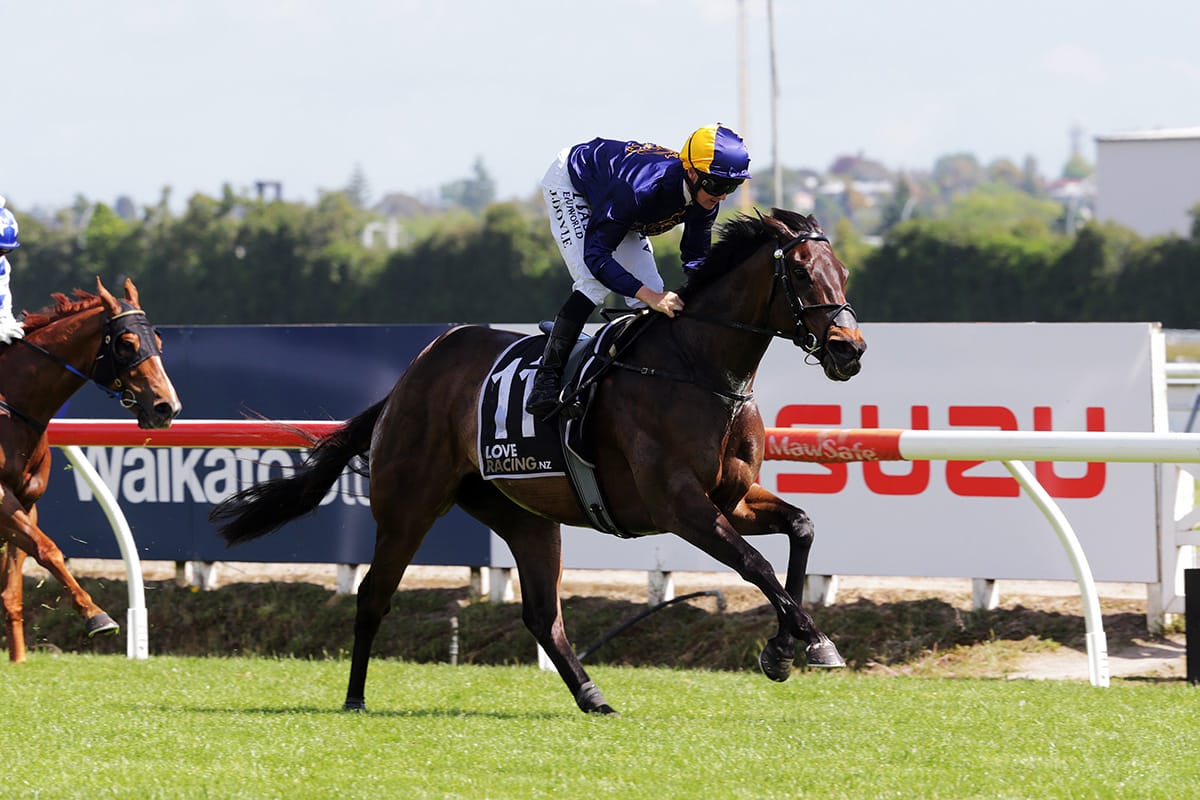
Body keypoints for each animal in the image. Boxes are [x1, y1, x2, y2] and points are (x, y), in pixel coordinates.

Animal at [0, 278, 181, 663]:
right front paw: (97, 616)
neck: (12, 407)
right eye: (127, 344)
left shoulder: (27, 501)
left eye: (158, 341)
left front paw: (19, 660)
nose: (167, 407)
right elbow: (48, 549)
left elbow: (13, 590)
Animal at [211, 208, 867, 714]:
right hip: (409, 505)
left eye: (843, 273)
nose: (849, 349)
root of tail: (409, 379)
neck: (695, 369)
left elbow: (801, 528)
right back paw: (354, 698)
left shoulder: (732, 496)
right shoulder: (679, 505)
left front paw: (786, 648)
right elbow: (755, 565)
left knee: (541, 614)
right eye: (802, 273)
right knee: (374, 594)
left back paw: (593, 697)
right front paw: (810, 643)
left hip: (524, 516)